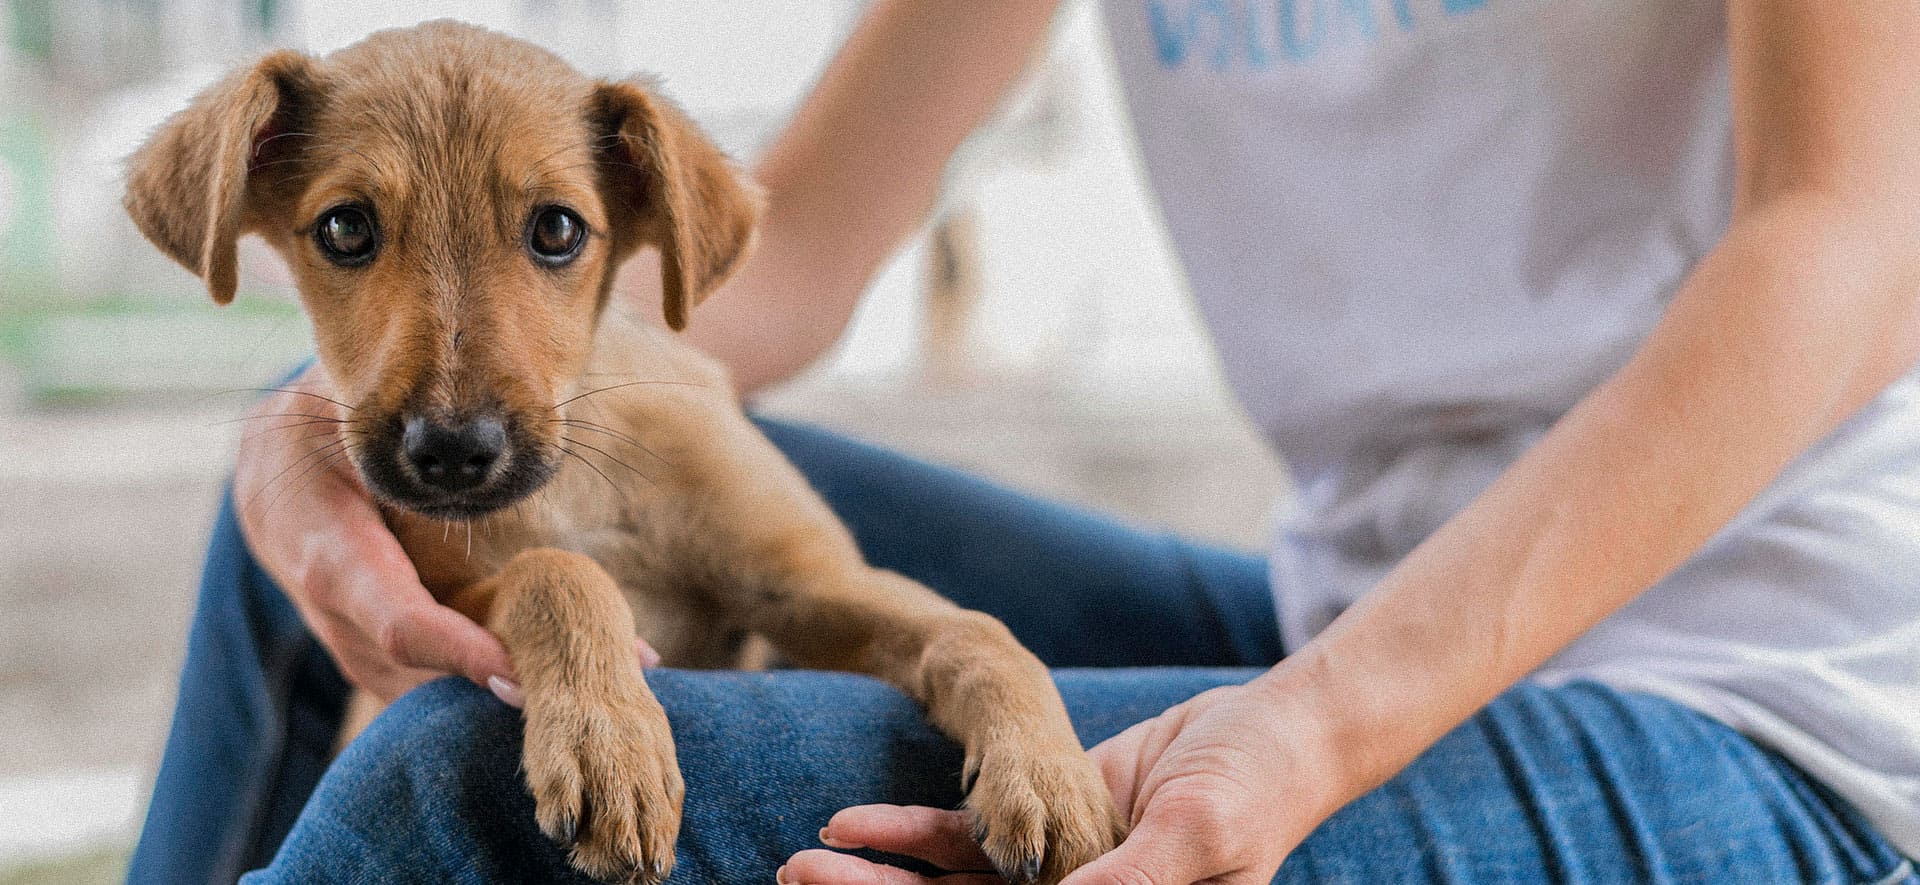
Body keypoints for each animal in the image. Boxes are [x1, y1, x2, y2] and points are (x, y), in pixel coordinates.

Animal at [123, 20, 1121, 883]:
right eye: (344, 229)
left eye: (558, 230)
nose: (452, 450)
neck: (580, 484)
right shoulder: (441, 607)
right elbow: (559, 573)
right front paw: (610, 744)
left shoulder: (810, 585)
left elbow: (977, 631)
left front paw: (1052, 773)